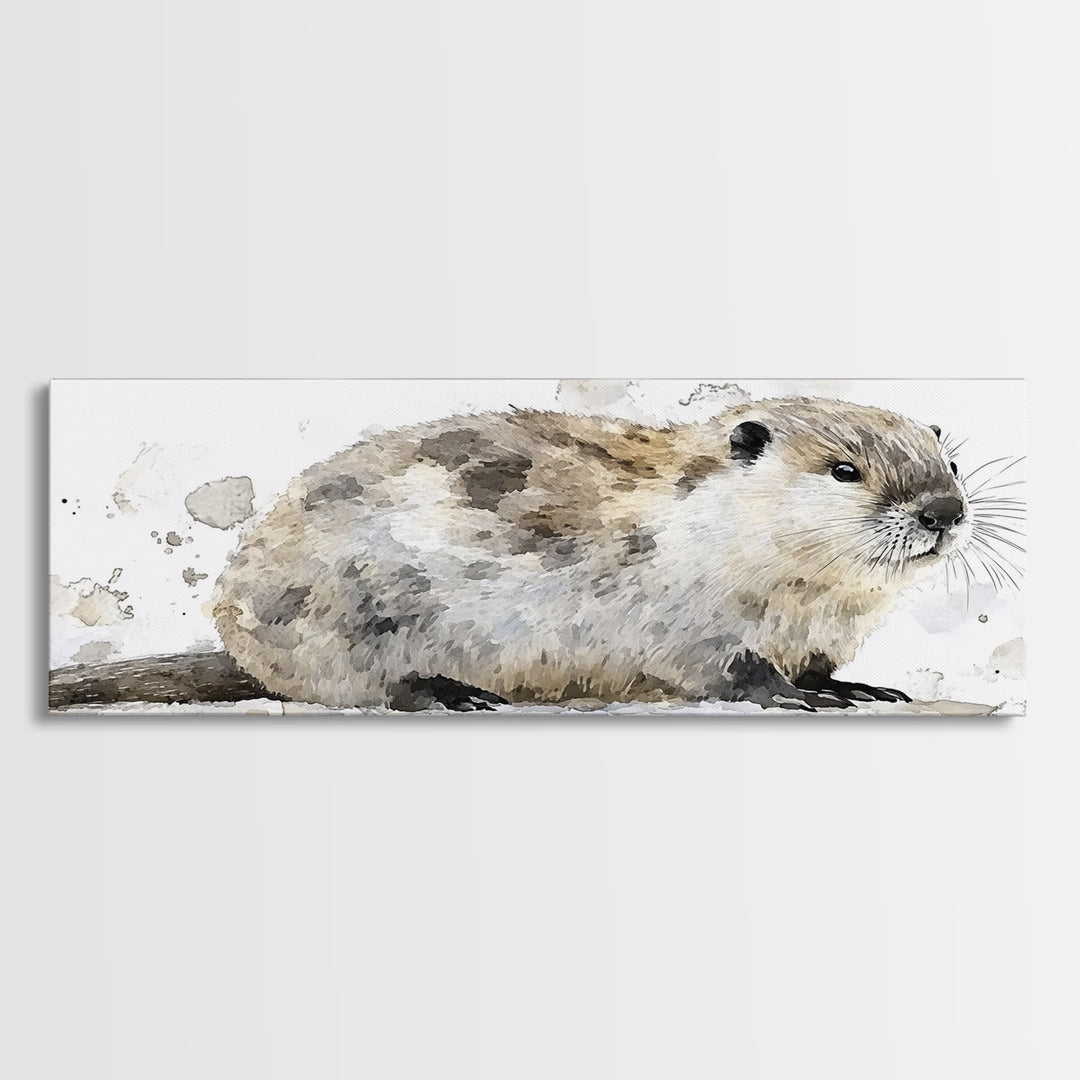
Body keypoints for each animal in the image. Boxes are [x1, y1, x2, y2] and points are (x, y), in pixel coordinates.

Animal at [208, 397, 972, 712]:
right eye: (845, 470)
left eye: (952, 463)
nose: (944, 511)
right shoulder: (677, 609)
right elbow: (731, 667)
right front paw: (798, 697)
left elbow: (817, 663)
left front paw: (860, 688)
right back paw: (454, 692)